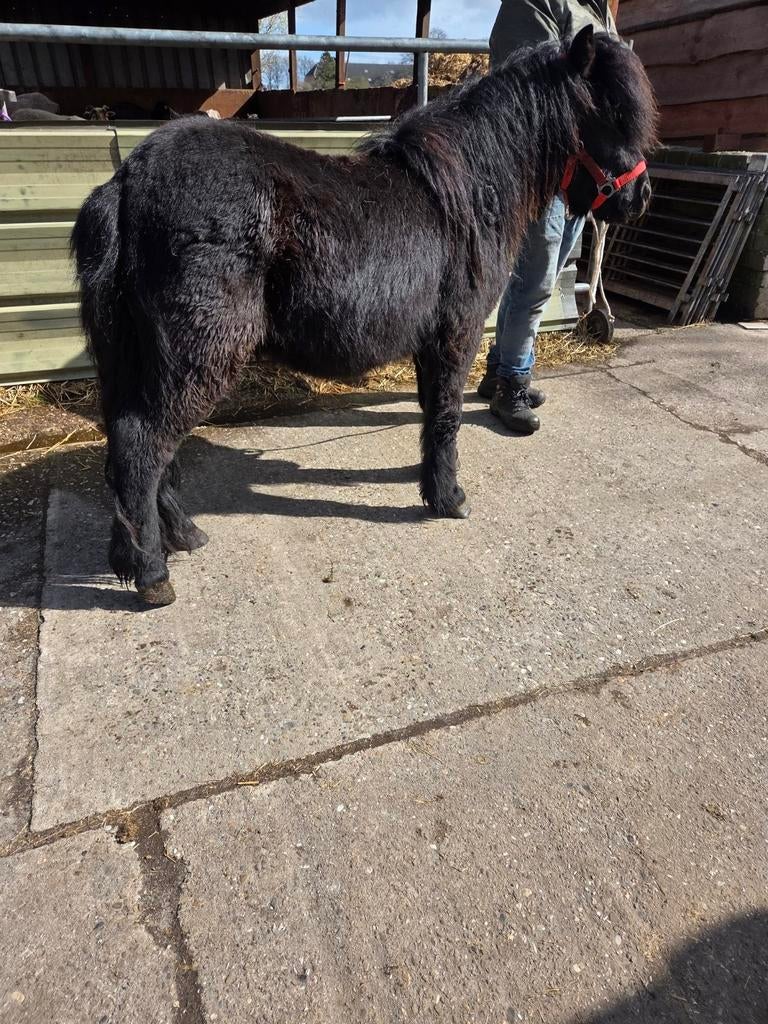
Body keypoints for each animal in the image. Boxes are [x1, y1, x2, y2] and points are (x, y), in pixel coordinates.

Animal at [72, 26, 657, 606]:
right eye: (612, 112)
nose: (641, 196)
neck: (471, 190)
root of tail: (127, 183)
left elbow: (431, 412)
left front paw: (429, 481)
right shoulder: (458, 332)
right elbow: (447, 414)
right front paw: (448, 497)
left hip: (142, 357)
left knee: (139, 447)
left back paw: (180, 536)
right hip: (197, 354)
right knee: (142, 446)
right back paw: (152, 573)